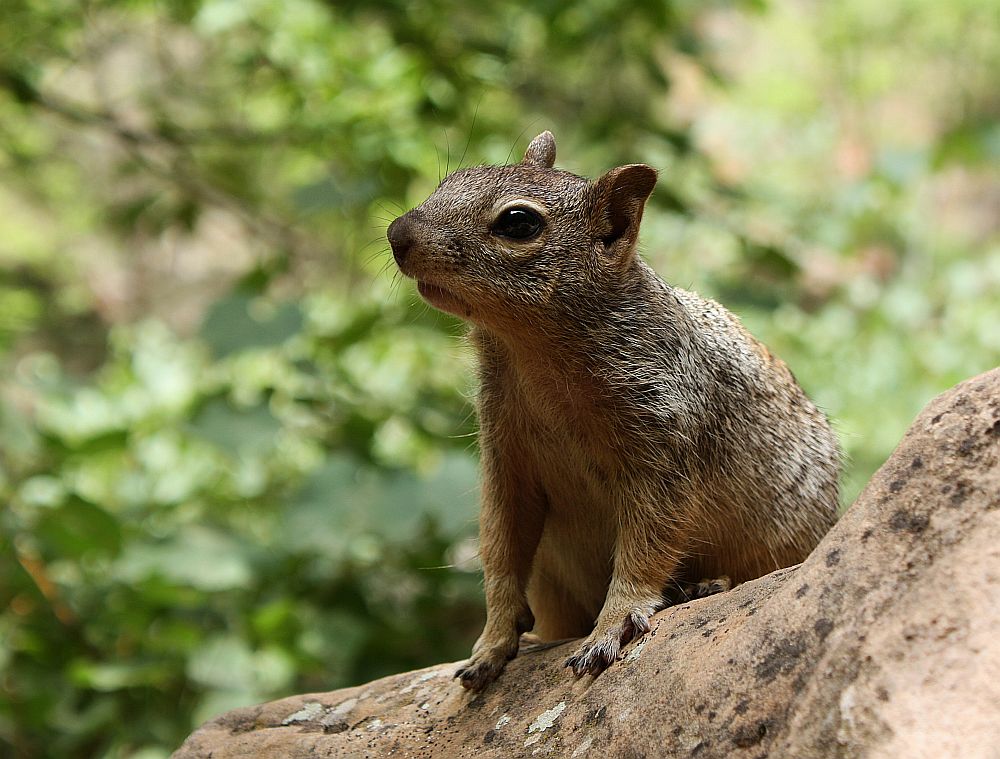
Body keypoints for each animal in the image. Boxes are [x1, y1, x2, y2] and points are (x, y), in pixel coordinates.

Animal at [386, 134, 840, 692]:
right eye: (453, 177)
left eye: (518, 223)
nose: (396, 234)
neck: (531, 354)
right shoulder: (506, 462)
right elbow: (501, 547)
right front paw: (492, 640)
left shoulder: (665, 445)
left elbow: (646, 546)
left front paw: (612, 626)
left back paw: (702, 586)